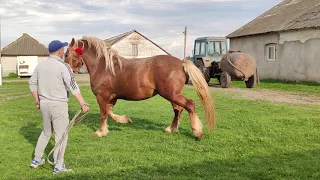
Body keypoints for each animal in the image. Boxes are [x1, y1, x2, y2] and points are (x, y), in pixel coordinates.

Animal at [64, 36, 215, 141]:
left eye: (66, 54)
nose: (66, 69)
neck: (103, 67)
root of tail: (181, 62)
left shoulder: (102, 96)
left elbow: (104, 114)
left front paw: (100, 132)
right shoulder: (112, 97)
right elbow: (110, 112)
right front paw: (125, 120)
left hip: (172, 94)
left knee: (189, 105)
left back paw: (197, 133)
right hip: (173, 95)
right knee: (178, 109)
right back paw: (170, 129)